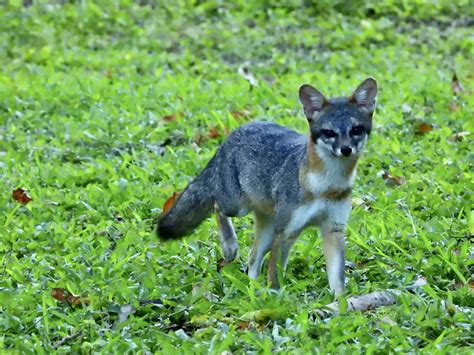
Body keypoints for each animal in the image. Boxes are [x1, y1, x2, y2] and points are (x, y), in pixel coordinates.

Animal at [158, 78, 378, 298]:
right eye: (329, 133)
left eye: (356, 130)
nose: (346, 149)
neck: (325, 186)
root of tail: (235, 133)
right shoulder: (286, 232)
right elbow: (275, 276)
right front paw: (275, 300)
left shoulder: (334, 229)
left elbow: (337, 279)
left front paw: (339, 303)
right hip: (238, 207)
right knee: (217, 206)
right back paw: (229, 246)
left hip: (267, 229)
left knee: (253, 256)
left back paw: (252, 289)